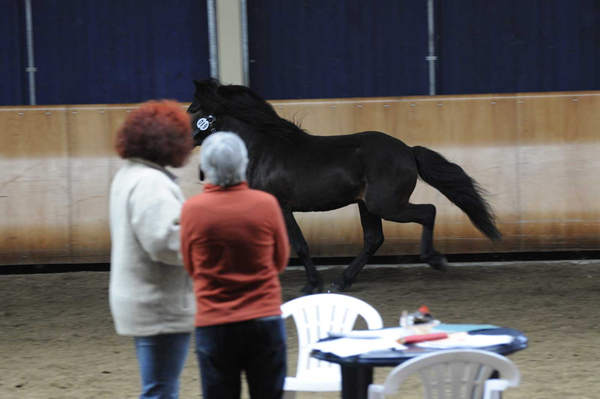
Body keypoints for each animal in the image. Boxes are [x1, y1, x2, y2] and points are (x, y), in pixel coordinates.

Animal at [189, 79, 502, 296]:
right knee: (374, 239)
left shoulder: (282, 205)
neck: (263, 148)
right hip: (367, 206)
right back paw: (342, 281)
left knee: (428, 211)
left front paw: (311, 285)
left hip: (385, 204)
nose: (185, 136)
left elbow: (299, 245)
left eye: (195, 110)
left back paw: (435, 259)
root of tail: (407, 151)